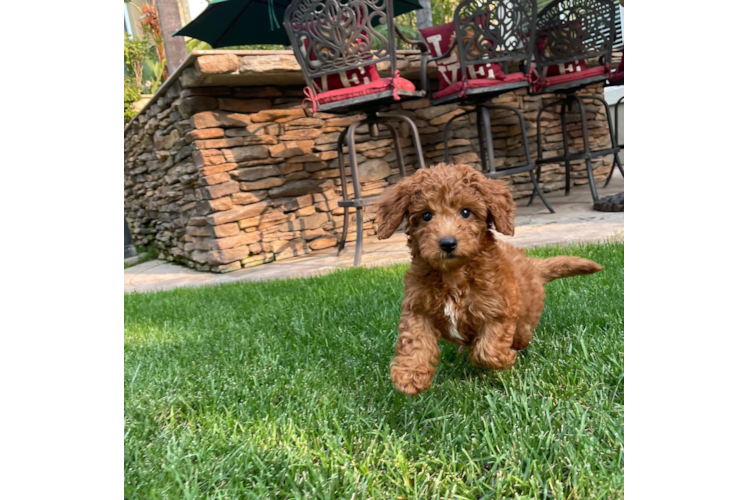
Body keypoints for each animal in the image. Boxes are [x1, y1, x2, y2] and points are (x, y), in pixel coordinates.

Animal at [376, 164, 604, 394]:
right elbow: (415, 340)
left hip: (526, 316)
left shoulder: (498, 309)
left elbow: (487, 351)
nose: (447, 243)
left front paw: (505, 359)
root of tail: (531, 265)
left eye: (466, 212)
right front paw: (410, 375)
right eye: (426, 215)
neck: (453, 275)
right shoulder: (417, 306)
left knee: (521, 334)